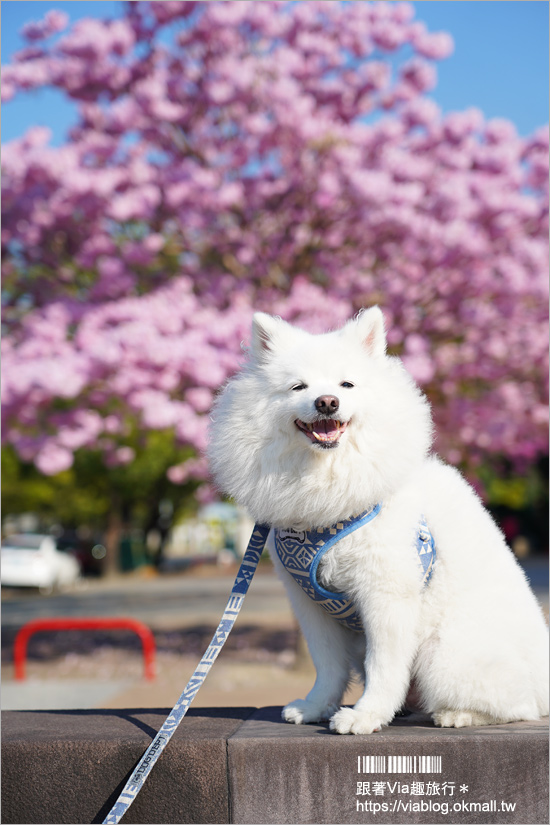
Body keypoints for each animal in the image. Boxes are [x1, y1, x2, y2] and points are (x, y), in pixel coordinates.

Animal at [209, 308, 548, 732]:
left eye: (347, 384)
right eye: (298, 387)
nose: (326, 402)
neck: (326, 488)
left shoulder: (384, 594)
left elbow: (383, 667)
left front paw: (365, 715)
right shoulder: (309, 604)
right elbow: (327, 665)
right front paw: (317, 706)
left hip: (444, 653)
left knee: (520, 705)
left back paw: (457, 713)